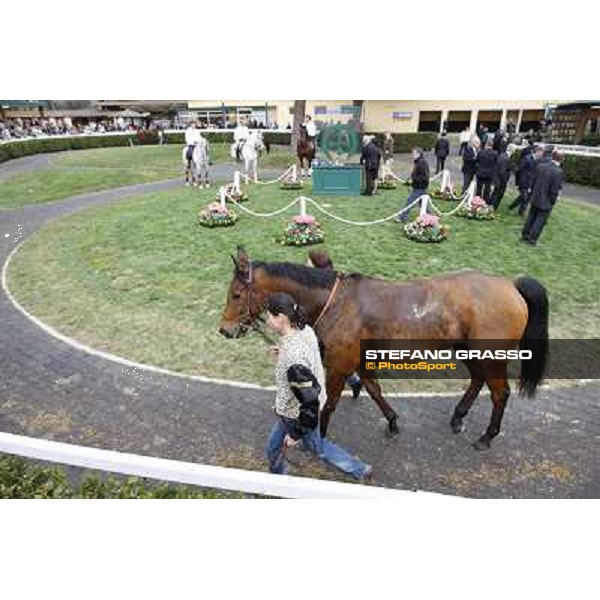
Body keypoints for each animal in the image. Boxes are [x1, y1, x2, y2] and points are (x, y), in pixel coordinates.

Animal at [219, 245, 548, 450]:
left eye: (236, 294)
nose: (224, 330)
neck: (338, 303)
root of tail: (511, 285)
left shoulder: (338, 364)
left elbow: (329, 403)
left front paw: (320, 437)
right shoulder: (360, 360)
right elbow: (373, 388)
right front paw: (392, 421)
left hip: (491, 356)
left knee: (500, 393)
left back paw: (487, 436)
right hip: (468, 349)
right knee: (478, 380)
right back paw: (458, 416)